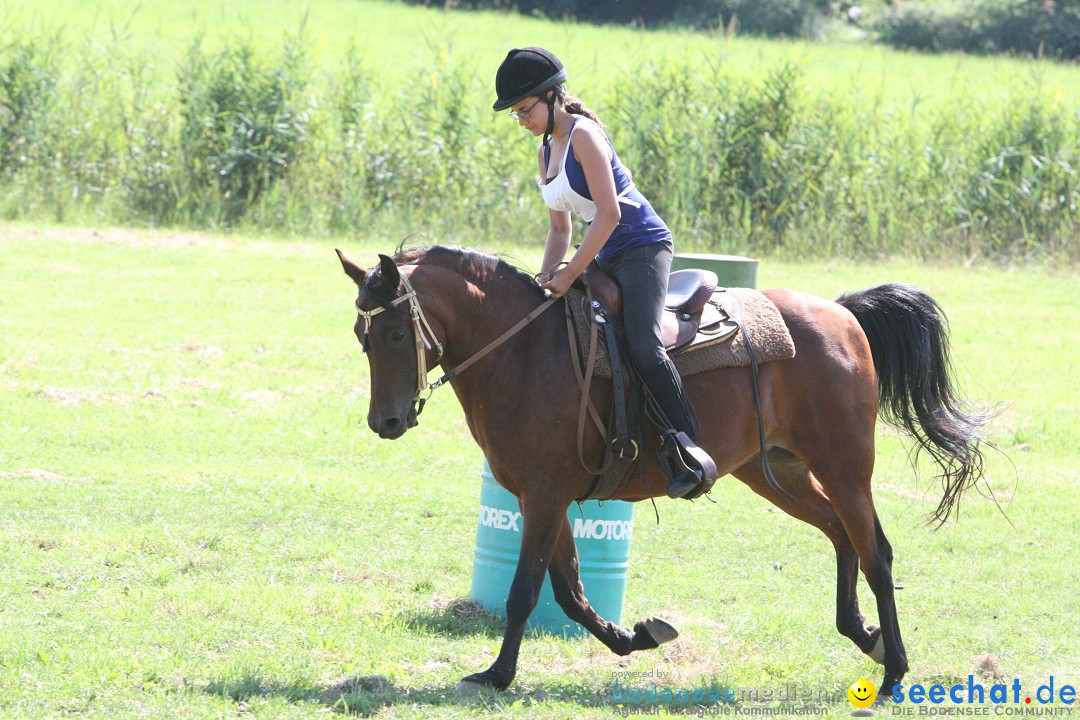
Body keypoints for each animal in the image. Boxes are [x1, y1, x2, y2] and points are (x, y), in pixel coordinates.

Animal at [336, 243, 993, 699]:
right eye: (361, 336)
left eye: (394, 331)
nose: (384, 421)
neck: (521, 351)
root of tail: (840, 312)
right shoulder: (541, 496)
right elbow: (571, 593)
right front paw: (637, 636)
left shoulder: (544, 495)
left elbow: (524, 593)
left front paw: (497, 674)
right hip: (774, 472)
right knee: (840, 535)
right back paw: (866, 637)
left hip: (845, 465)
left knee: (876, 551)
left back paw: (894, 671)